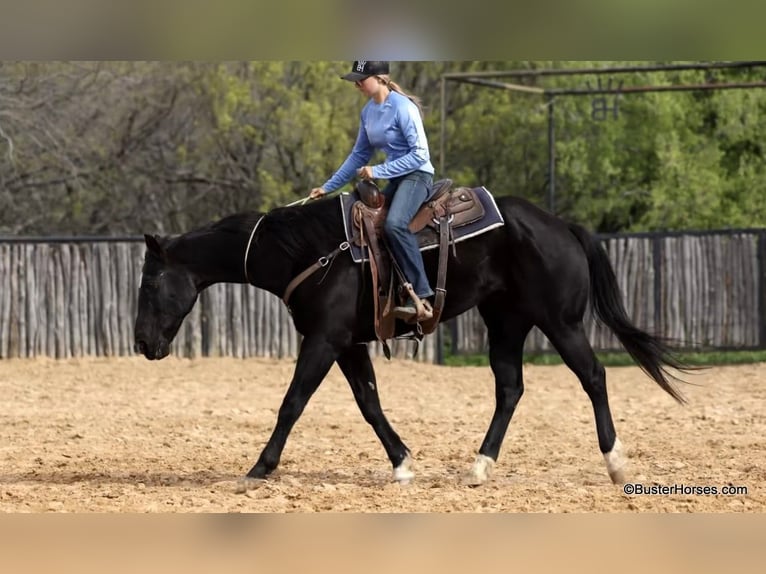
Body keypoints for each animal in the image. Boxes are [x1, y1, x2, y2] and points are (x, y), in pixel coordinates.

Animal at [134, 192, 688, 490]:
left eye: (151, 282)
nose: (142, 343)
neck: (308, 251)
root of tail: (561, 225)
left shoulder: (324, 339)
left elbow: (292, 402)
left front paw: (259, 468)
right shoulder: (347, 343)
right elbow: (369, 402)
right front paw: (401, 463)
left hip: (561, 322)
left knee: (592, 376)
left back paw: (615, 463)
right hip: (506, 323)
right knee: (510, 388)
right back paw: (480, 466)